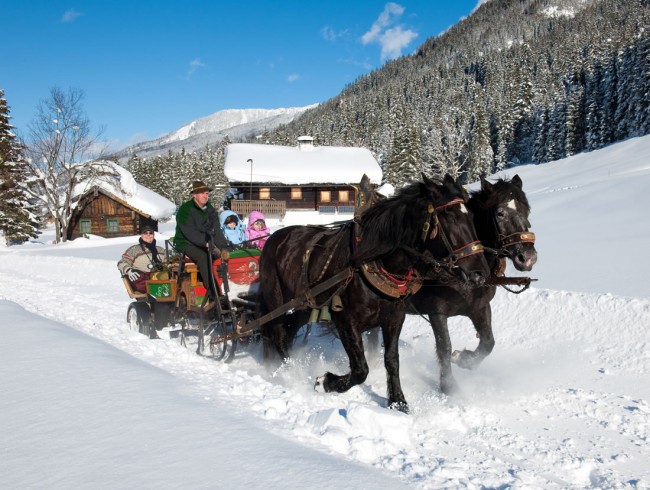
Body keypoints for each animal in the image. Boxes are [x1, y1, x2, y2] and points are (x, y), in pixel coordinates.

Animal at [256, 174, 486, 412]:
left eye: (472, 217)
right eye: (449, 216)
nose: (480, 274)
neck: (375, 260)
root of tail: (275, 238)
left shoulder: (394, 318)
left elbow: (392, 360)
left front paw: (398, 401)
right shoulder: (346, 321)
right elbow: (360, 369)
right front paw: (325, 382)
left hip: (303, 305)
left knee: (288, 332)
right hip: (276, 301)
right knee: (277, 333)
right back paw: (290, 372)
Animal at [408, 175, 536, 394]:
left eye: (526, 210)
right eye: (500, 213)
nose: (528, 258)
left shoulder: (479, 306)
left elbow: (488, 342)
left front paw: (464, 358)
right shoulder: (436, 311)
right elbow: (444, 346)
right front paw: (448, 386)